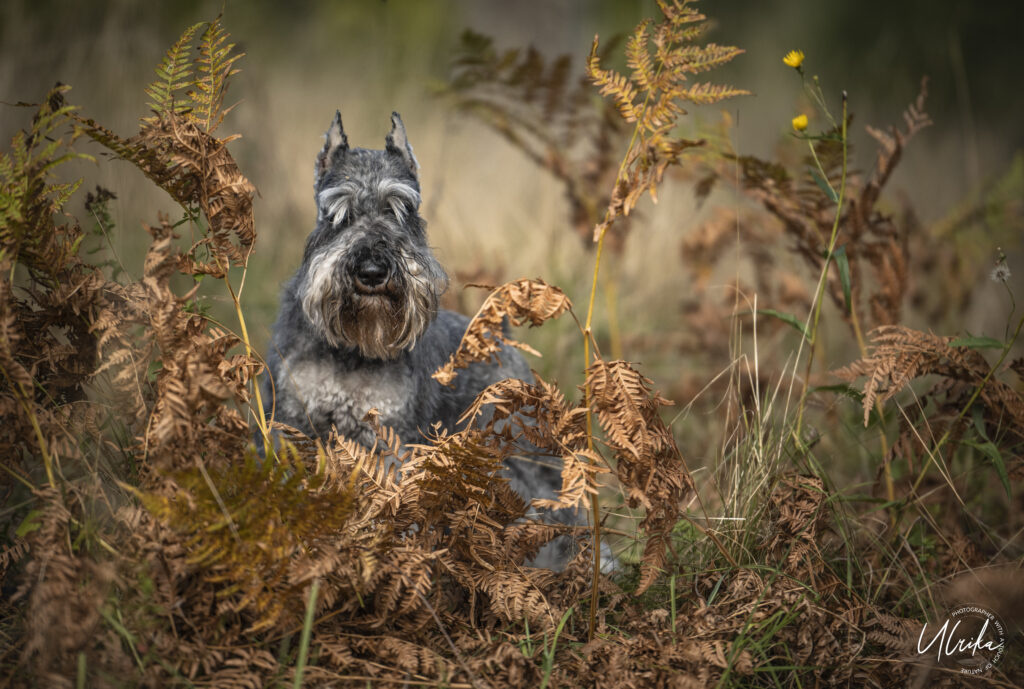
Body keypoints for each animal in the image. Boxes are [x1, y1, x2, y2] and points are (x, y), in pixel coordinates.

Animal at [262, 110, 585, 565]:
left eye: (402, 209)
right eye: (337, 214)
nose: (373, 271)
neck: (353, 349)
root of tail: (498, 338)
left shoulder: (390, 442)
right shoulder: (297, 428)